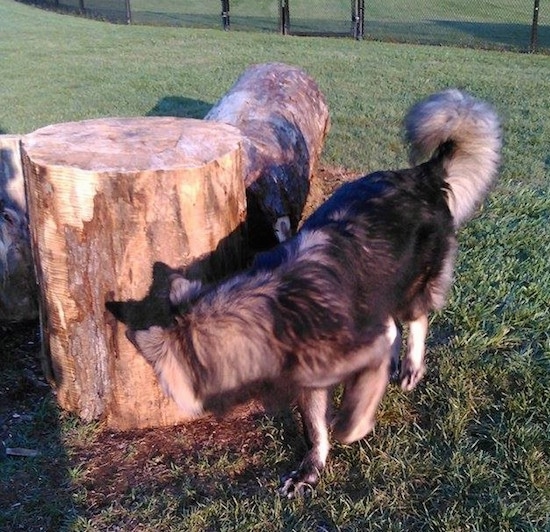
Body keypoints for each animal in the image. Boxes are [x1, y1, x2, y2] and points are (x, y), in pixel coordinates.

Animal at [110, 89, 502, 496]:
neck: (274, 312)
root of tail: (420, 175)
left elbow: (347, 419)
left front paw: (353, 427)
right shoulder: (312, 379)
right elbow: (315, 427)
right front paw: (310, 468)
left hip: (411, 284)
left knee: (417, 318)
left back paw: (410, 365)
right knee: (393, 324)